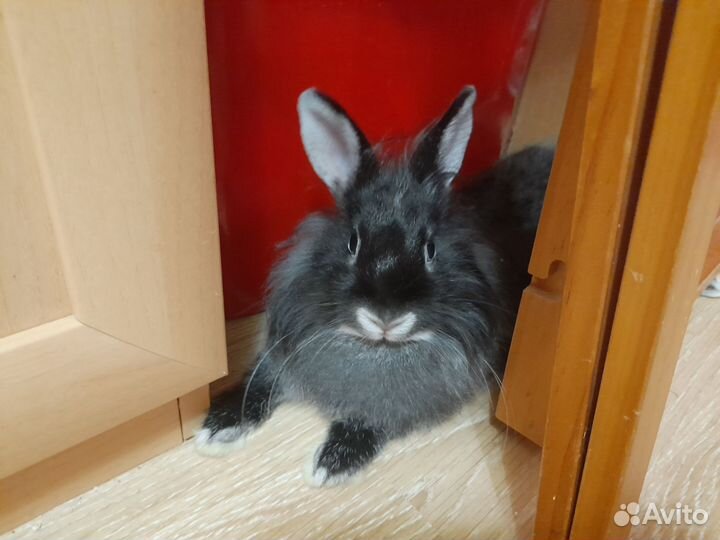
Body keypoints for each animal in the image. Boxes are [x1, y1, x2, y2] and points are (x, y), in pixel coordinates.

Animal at [195, 85, 554, 486]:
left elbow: (370, 420)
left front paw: (330, 464)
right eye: (352, 242)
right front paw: (216, 428)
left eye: (430, 248)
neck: (373, 347)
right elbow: (259, 382)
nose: (386, 317)